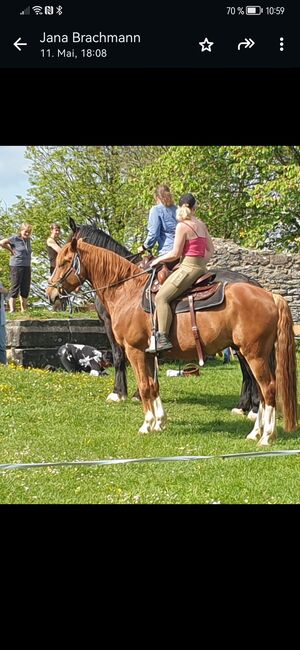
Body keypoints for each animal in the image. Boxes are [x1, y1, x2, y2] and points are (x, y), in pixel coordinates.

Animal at [47, 238, 298, 446]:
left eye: (64, 262)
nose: (51, 293)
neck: (127, 292)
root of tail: (270, 296)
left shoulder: (134, 351)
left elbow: (144, 386)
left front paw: (146, 424)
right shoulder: (149, 353)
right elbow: (153, 386)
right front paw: (159, 421)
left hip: (253, 355)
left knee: (268, 389)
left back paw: (266, 436)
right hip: (259, 354)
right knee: (263, 391)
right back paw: (256, 432)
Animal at [67, 216, 260, 410]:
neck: (121, 281)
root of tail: (250, 282)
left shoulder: (110, 324)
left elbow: (119, 356)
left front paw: (119, 393)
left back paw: (248, 406)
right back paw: (245, 405)